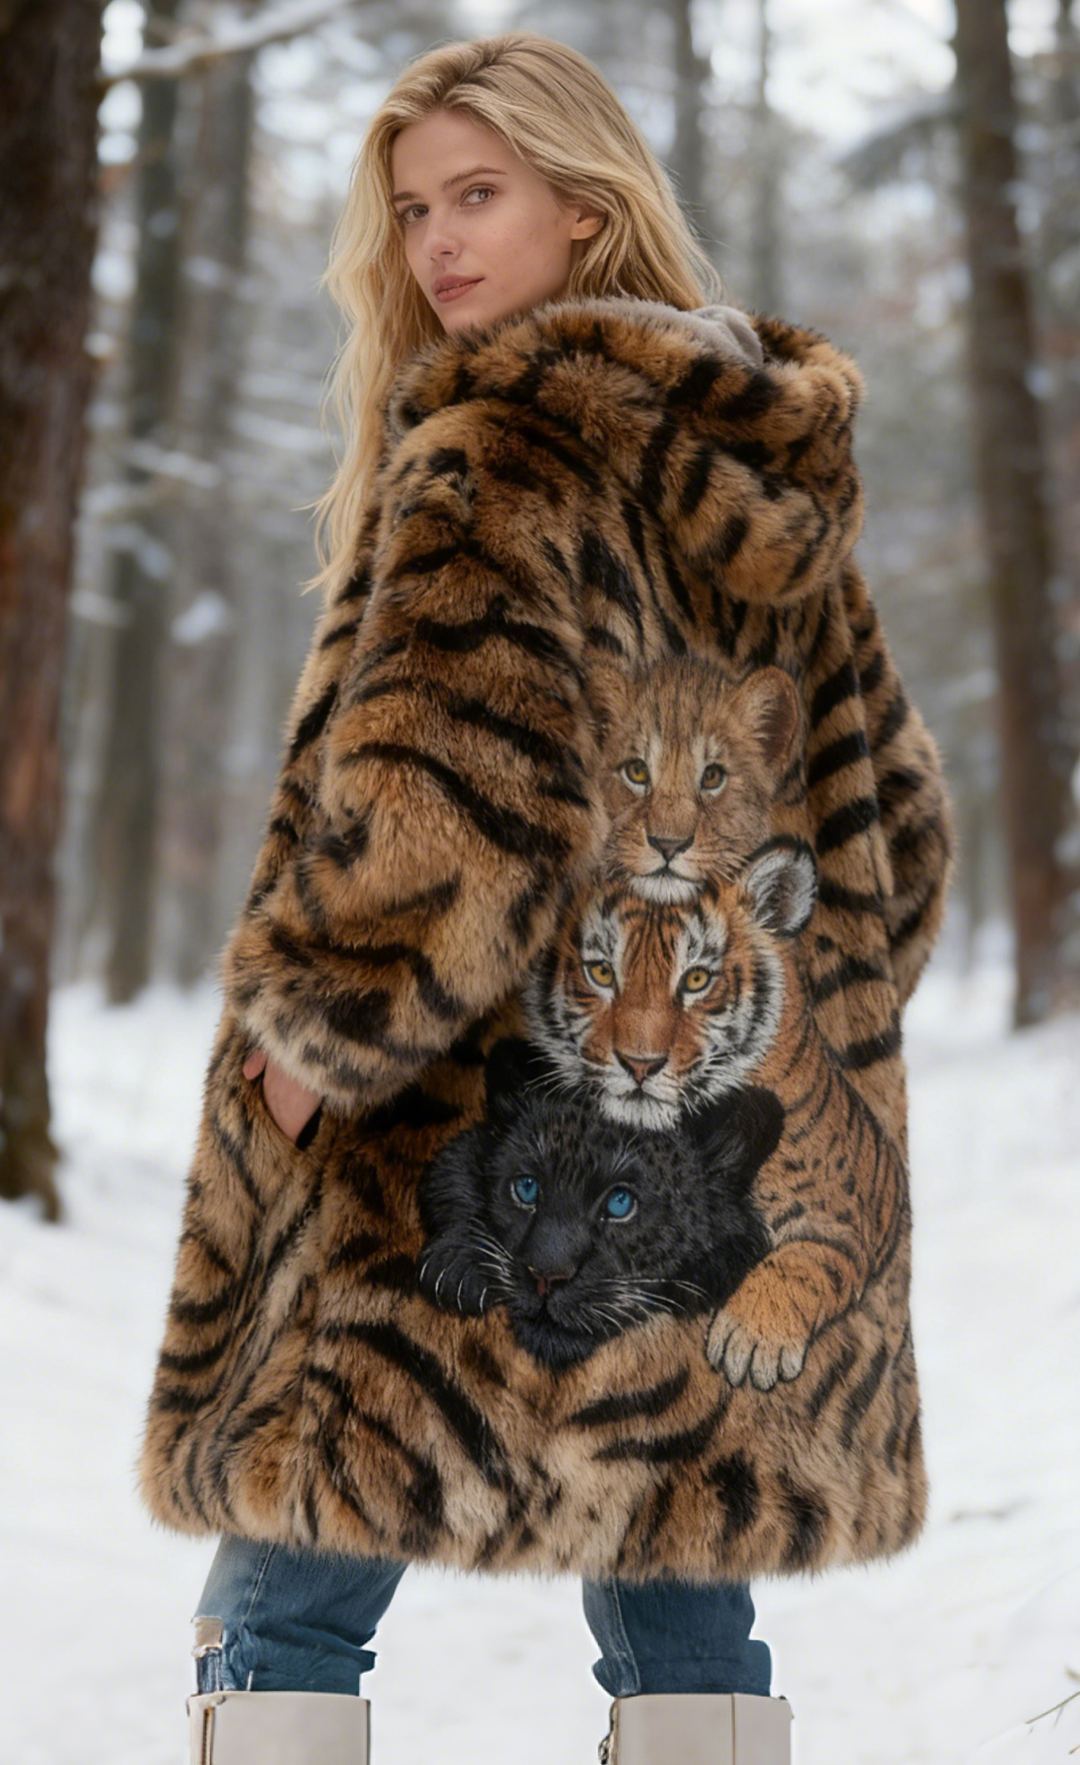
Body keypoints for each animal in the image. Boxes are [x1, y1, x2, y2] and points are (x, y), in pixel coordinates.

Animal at [521, 836, 908, 1392]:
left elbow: (801, 1262)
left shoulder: (836, 1220)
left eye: (697, 980)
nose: (640, 1064)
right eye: (601, 972)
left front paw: (752, 1339)